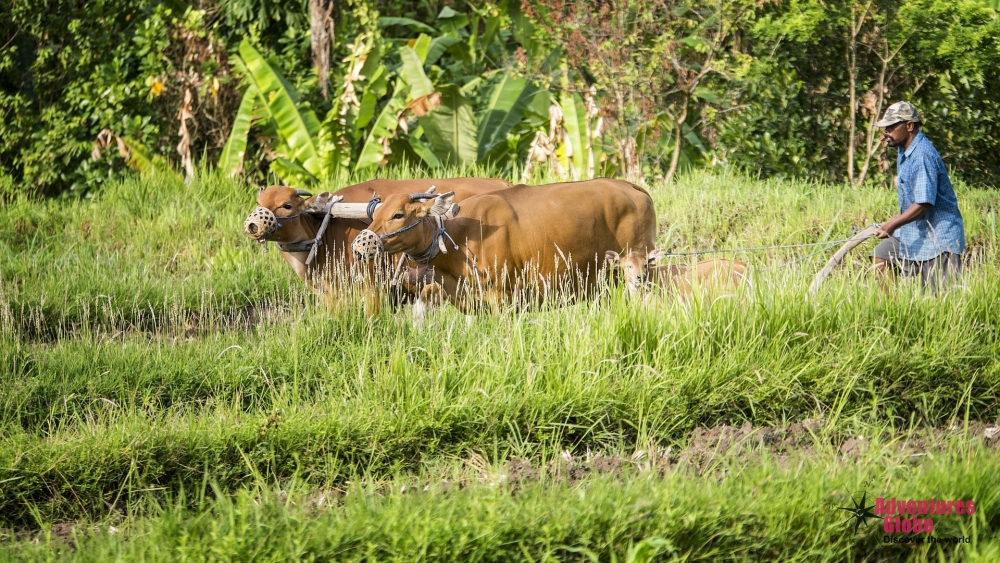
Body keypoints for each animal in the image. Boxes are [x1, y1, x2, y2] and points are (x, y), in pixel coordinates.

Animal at [352, 180, 656, 316]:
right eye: (377, 213)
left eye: (398, 215)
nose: (359, 246)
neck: (461, 235)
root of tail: (631, 187)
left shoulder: (502, 298)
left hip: (640, 274)